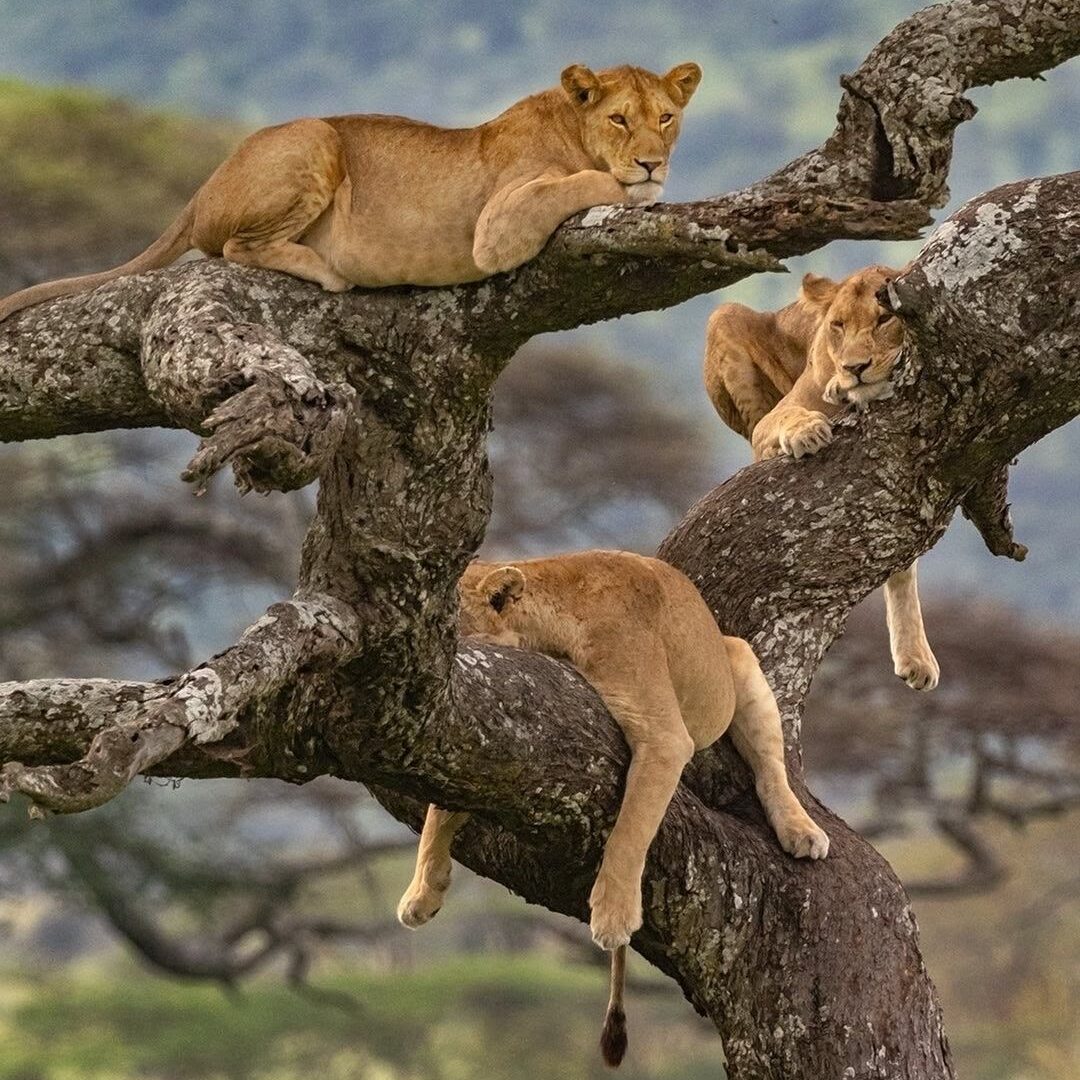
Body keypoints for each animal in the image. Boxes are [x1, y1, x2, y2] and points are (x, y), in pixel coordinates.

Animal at [0, 62, 702, 323]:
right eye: (620, 119)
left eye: (667, 117)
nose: (652, 162)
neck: (572, 126)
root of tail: (201, 190)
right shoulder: (496, 226)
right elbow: (588, 180)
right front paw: (632, 187)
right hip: (315, 138)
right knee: (234, 247)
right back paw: (325, 268)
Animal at [396, 550, 829, 1067]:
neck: (553, 618)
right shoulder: (496, 734)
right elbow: (442, 808)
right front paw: (422, 892)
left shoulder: (664, 737)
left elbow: (629, 832)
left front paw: (613, 916)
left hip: (740, 660)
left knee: (770, 768)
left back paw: (801, 831)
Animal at [703, 265, 940, 691]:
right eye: (838, 325)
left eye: (885, 319)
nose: (854, 368)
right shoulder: (770, 421)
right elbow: (787, 417)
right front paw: (807, 430)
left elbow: (905, 562)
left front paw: (917, 656)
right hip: (725, 316)